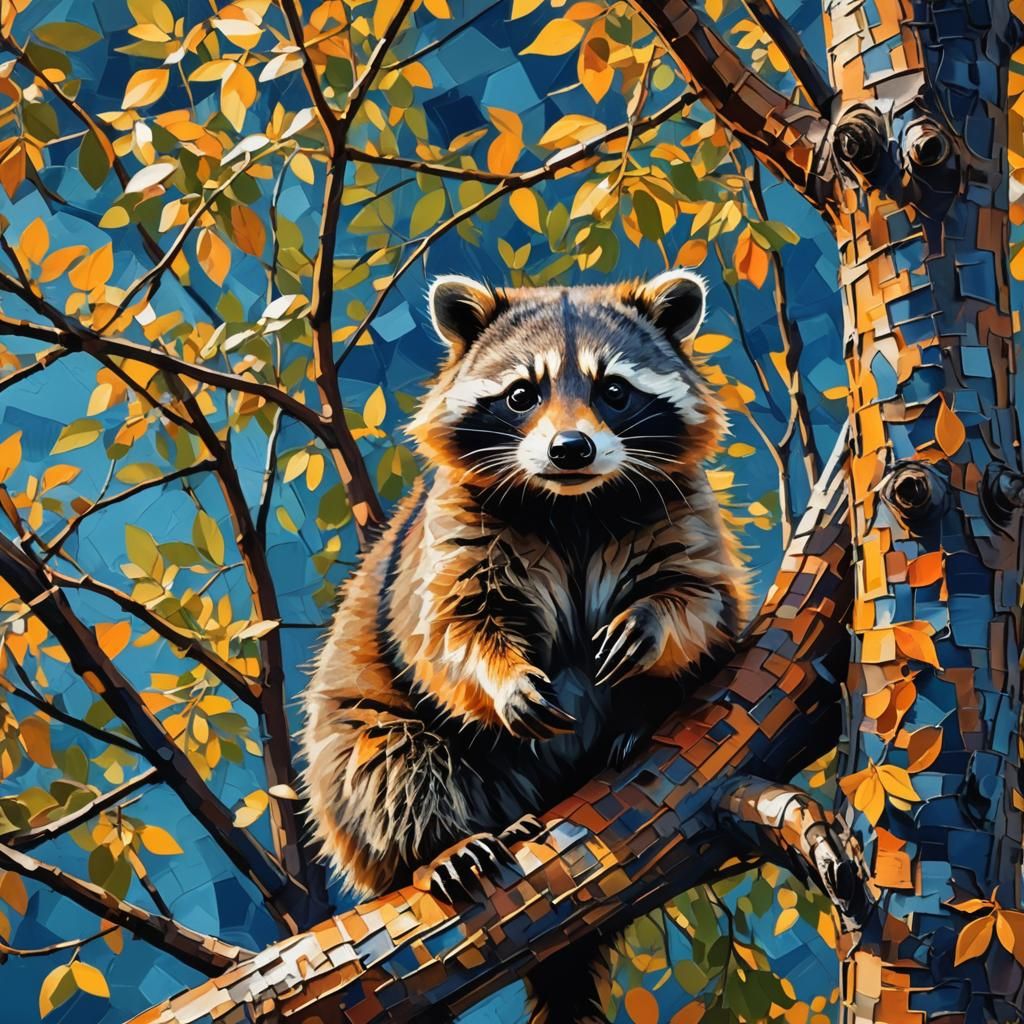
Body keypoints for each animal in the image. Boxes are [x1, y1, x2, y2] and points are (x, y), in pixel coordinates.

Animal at [301, 270, 747, 1023]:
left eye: (614, 390)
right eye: (521, 394)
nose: (570, 448)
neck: (573, 502)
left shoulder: (677, 506)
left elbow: (701, 599)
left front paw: (651, 624)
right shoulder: (450, 531)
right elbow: (449, 630)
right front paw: (504, 678)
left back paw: (638, 721)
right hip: (359, 745)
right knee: (385, 764)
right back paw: (439, 846)